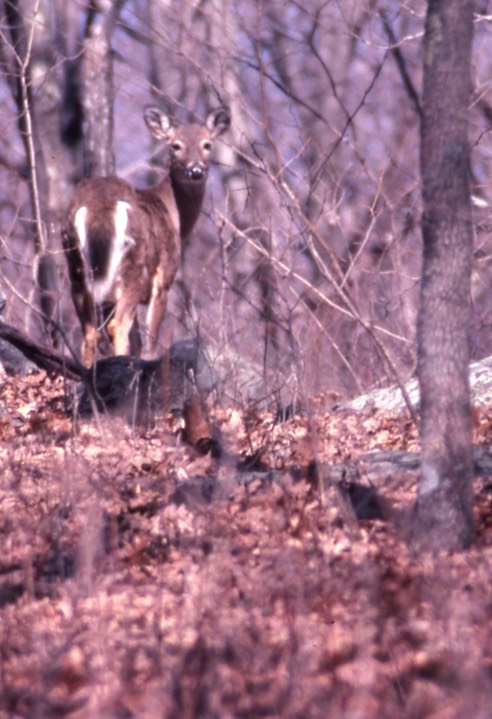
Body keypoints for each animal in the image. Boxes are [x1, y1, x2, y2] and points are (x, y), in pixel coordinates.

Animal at [62, 104, 231, 368]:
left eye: (207, 144)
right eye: (175, 145)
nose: (196, 170)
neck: (173, 214)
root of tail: (98, 208)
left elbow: (137, 341)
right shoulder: (163, 278)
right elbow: (150, 341)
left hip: (75, 267)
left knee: (90, 333)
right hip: (132, 265)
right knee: (117, 326)